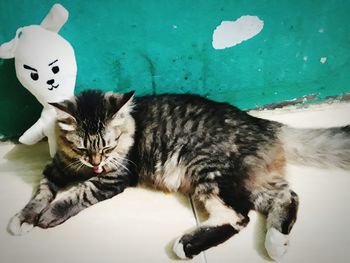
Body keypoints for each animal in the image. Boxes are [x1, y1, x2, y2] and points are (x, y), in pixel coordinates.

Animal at [7, 89, 350, 260]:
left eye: (107, 147)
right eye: (82, 148)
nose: (96, 164)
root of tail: (262, 123)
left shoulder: (112, 179)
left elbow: (76, 194)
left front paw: (49, 215)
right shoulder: (56, 168)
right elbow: (41, 192)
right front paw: (24, 218)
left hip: (209, 172)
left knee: (238, 216)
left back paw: (187, 246)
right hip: (247, 180)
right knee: (285, 195)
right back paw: (277, 243)